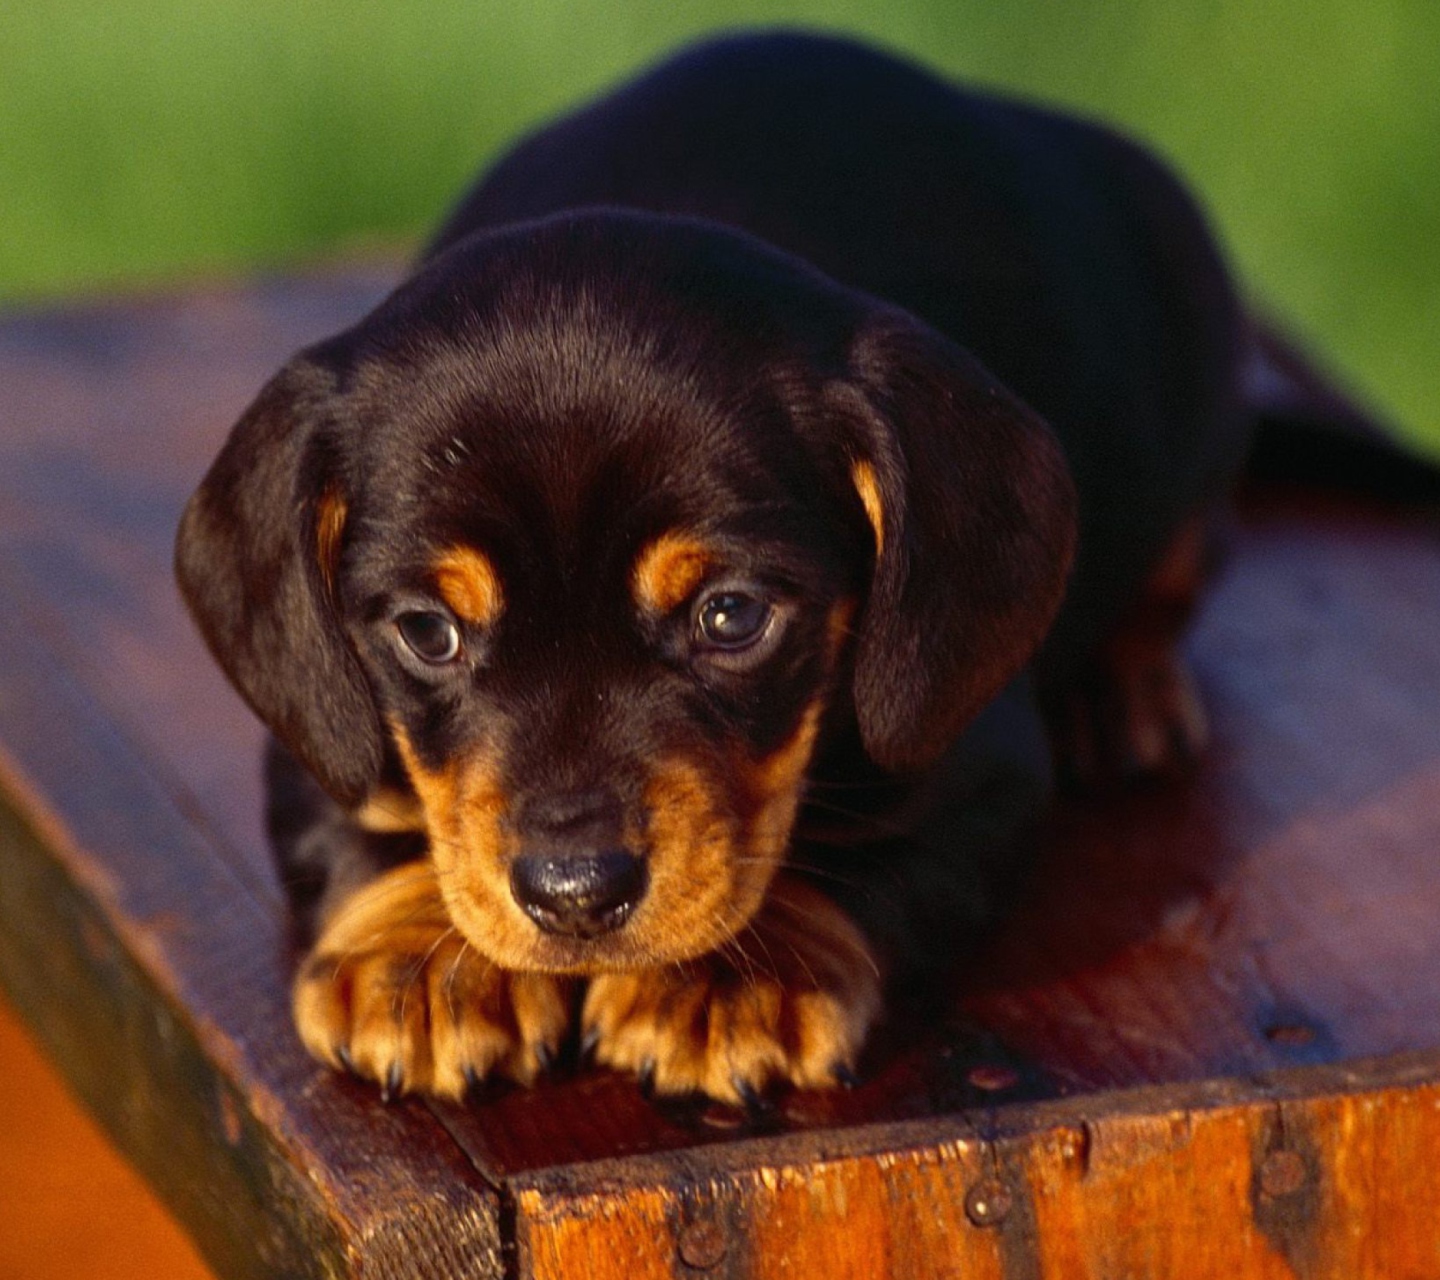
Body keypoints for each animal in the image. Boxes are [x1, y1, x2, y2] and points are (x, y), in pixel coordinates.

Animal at [177, 34, 1261, 1105]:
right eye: (426, 631)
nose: (577, 892)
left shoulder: (974, 753)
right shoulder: (318, 715)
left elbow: (863, 846)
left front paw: (732, 977)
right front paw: (418, 956)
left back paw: (1118, 692)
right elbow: (355, 810)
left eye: (730, 616)